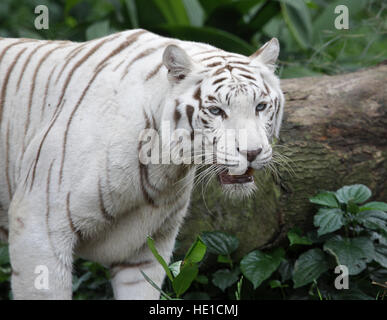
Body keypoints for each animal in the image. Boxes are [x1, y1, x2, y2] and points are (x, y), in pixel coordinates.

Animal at [0, 28, 284, 300]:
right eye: (216, 111)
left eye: (260, 106)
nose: (252, 152)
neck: (164, 165)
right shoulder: (38, 227)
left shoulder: (146, 248)